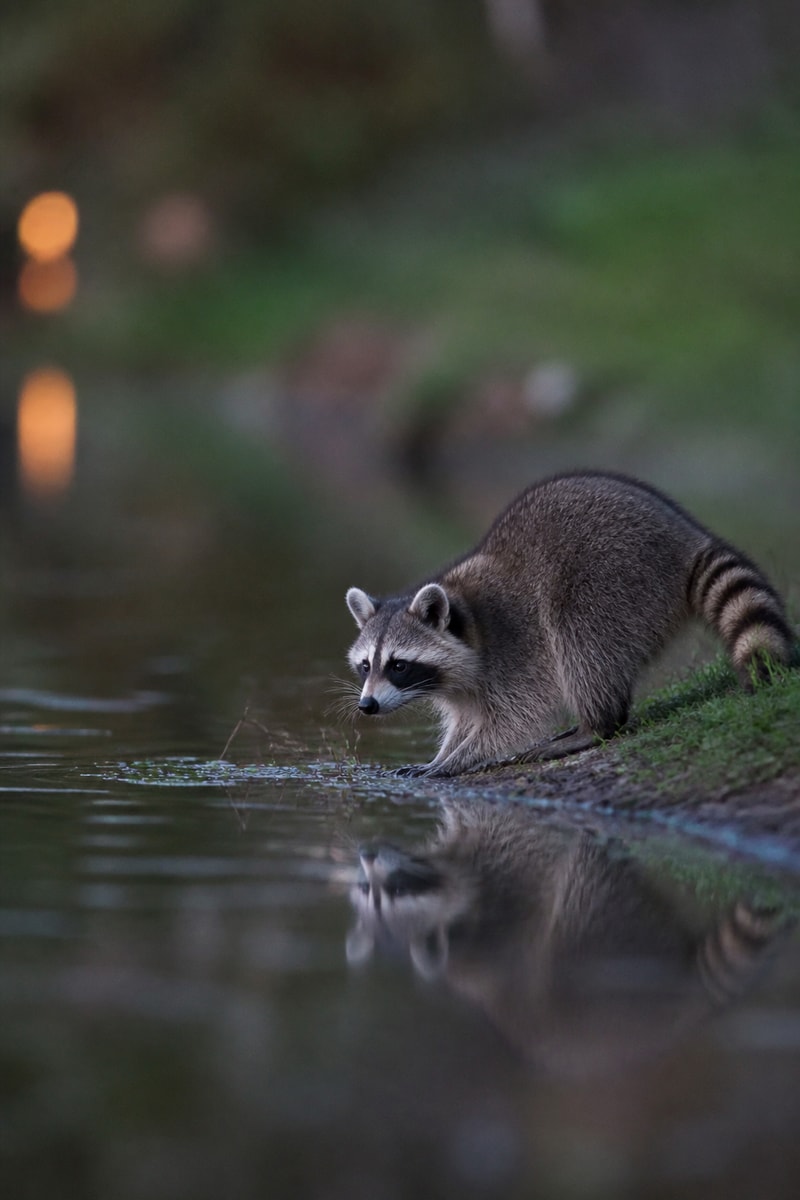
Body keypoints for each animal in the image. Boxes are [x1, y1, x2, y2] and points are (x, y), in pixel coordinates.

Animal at [345, 471, 794, 776]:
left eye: (399, 666)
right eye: (366, 666)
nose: (367, 706)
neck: (466, 618)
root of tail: (686, 541)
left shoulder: (515, 647)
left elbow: (514, 717)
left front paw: (457, 759)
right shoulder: (465, 684)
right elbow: (466, 718)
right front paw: (445, 751)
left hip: (612, 578)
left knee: (581, 642)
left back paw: (596, 725)